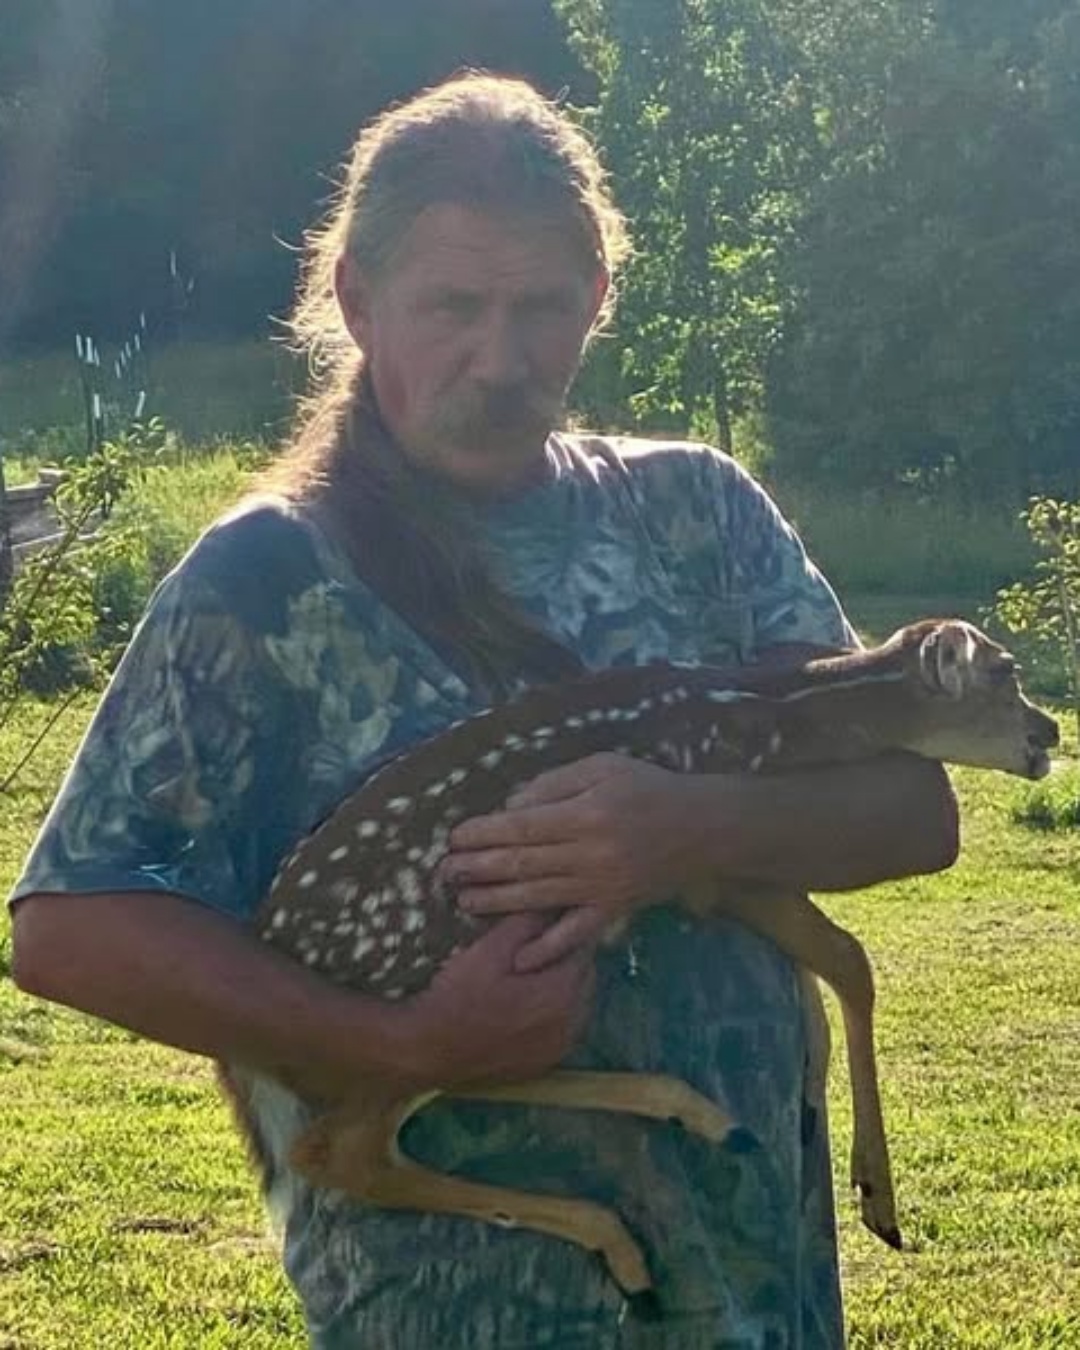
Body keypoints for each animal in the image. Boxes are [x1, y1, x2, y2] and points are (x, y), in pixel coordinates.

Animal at [220, 618, 1059, 1305]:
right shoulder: (700, 864)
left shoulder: (726, 861)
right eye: (1006, 671)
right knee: (341, 1147)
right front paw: (878, 1198)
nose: (1050, 731)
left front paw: (814, 1100)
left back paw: (698, 1125)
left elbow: (820, 964)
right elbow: (849, 959)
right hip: (427, 975)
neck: (773, 720)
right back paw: (629, 1233)